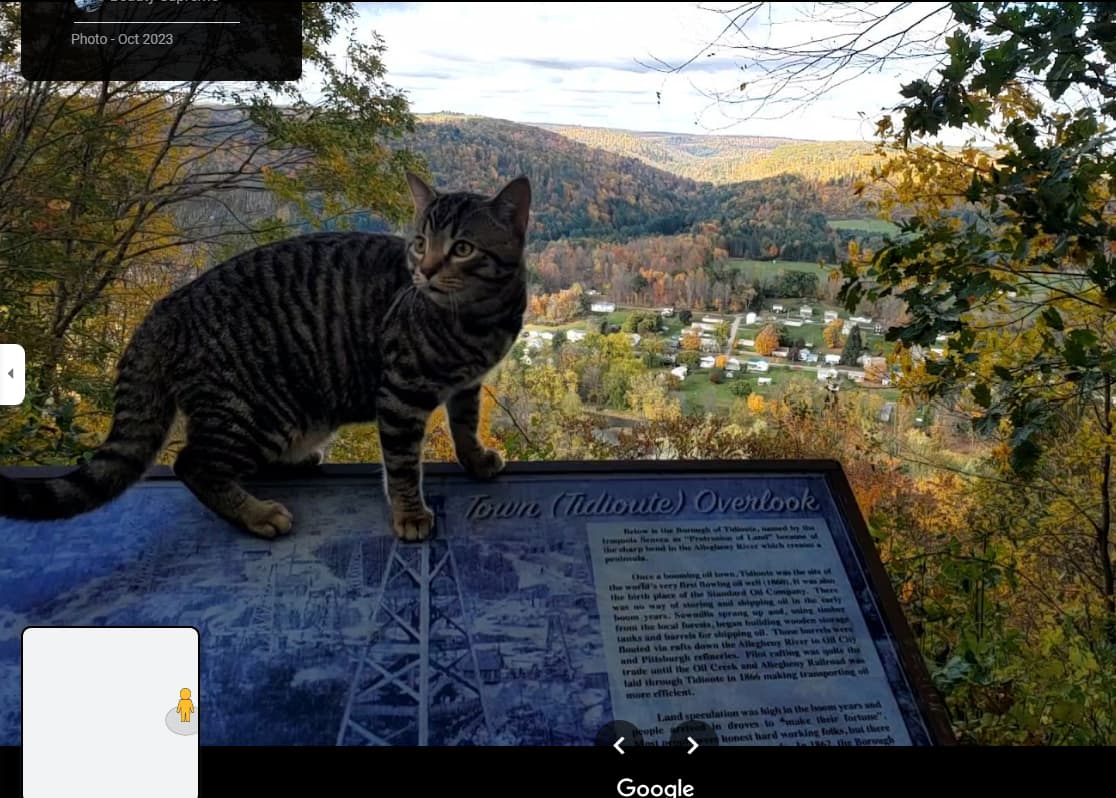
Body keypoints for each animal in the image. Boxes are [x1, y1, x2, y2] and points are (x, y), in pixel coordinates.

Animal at [0, 174, 531, 542]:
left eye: (462, 248)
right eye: (420, 244)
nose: (425, 270)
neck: (479, 321)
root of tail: (166, 308)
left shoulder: (467, 383)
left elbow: (465, 424)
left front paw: (475, 459)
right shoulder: (401, 392)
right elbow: (402, 464)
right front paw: (409, 514)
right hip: (256, 410)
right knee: (192, 463)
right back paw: (257, 514)